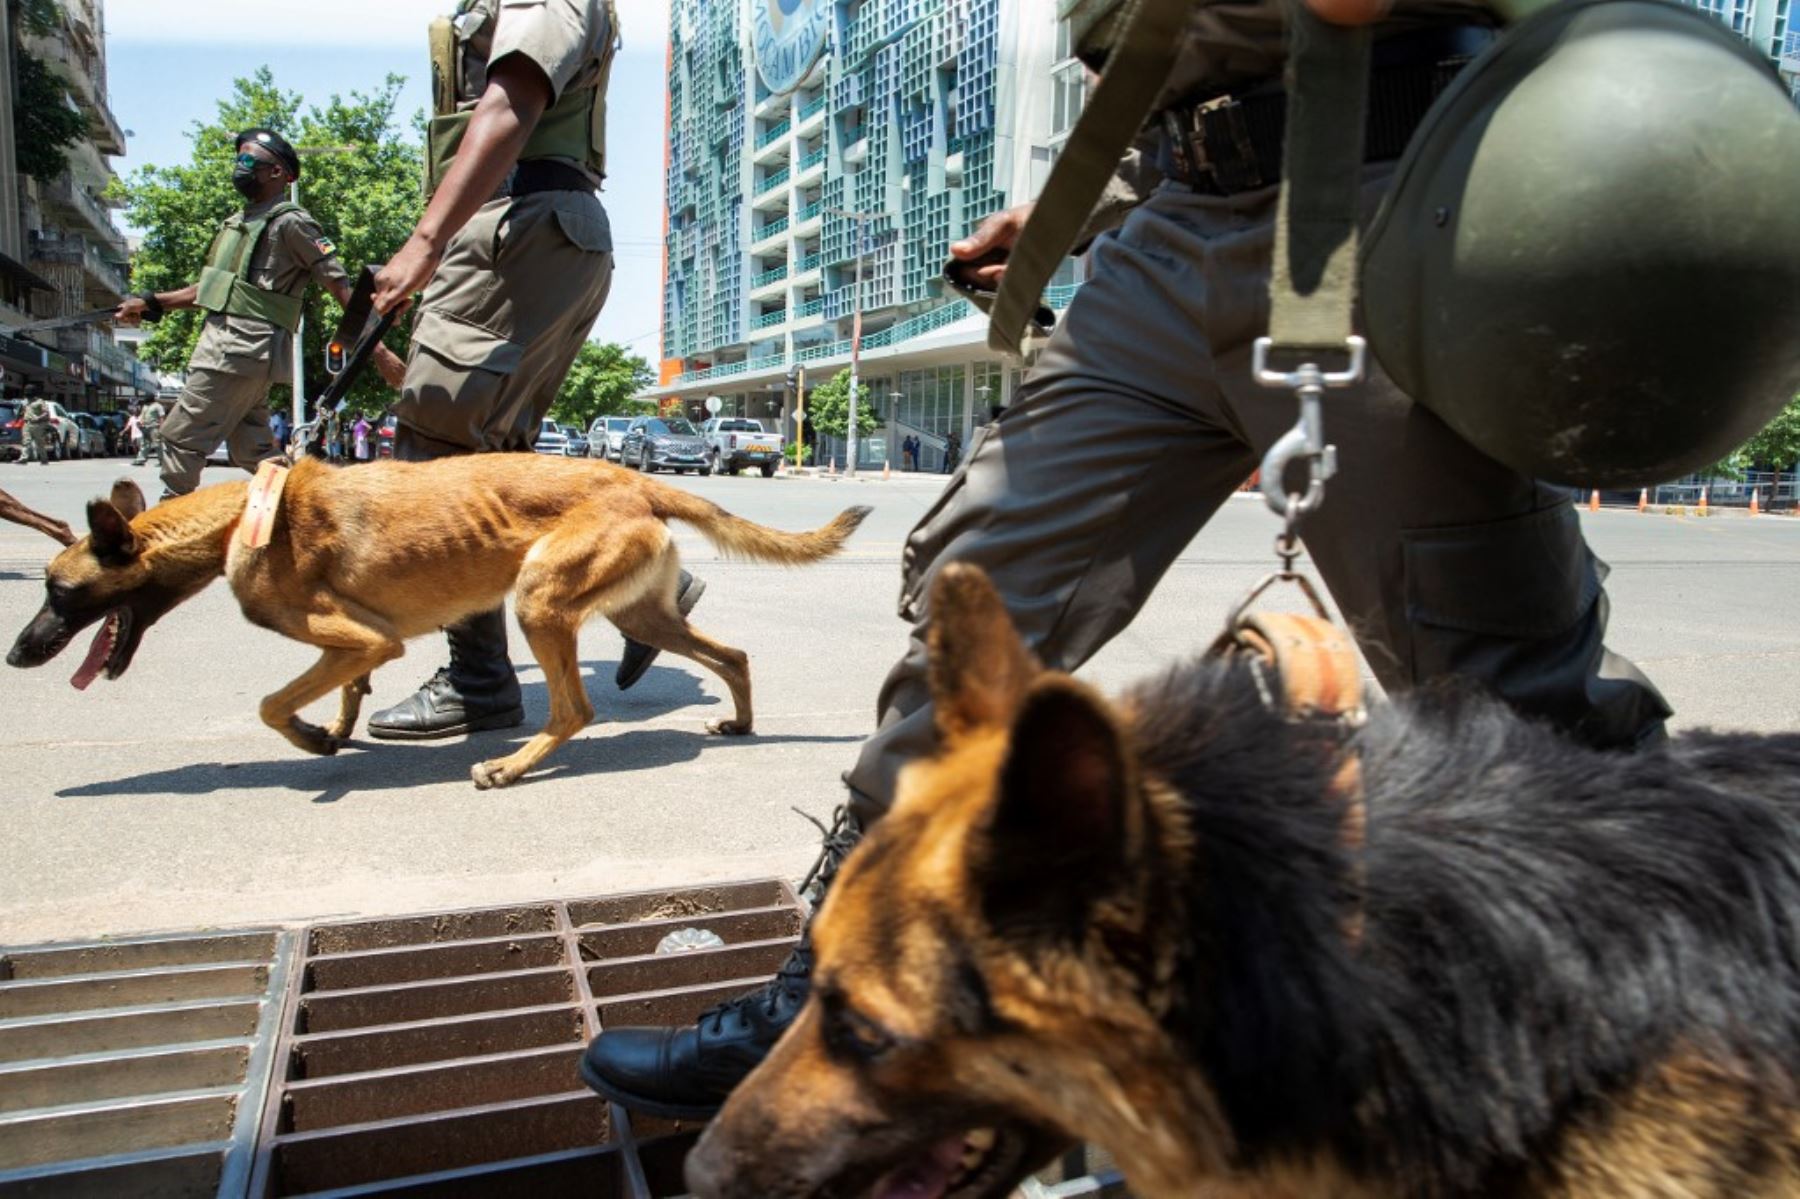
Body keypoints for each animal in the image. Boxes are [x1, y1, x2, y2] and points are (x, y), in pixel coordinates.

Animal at [1, 455, 871, 784]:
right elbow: (343, 688)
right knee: (733, 653)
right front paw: (336, 728)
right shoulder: (352, 645)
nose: (17, 654)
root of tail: (633, 478)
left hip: (538, 600)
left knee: (574, 709)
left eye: (59, 592)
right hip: (645, 616)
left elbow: (273, 704)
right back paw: (743, 721)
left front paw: (310, 737)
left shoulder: (365, 638)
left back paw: (512, 767)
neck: (242, 516)